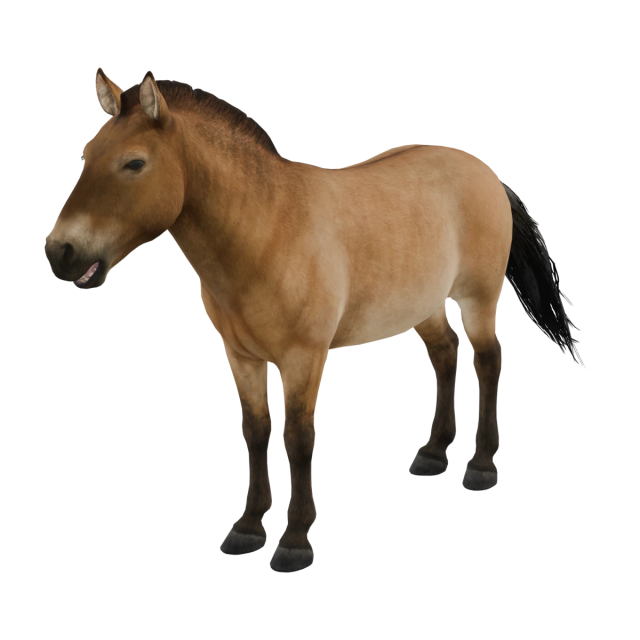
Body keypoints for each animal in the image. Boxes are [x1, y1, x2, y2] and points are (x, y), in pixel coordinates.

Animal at [43, 68, 585, 574]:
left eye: (134, 163)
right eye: (85, 156)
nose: (60, 253)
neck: (266, 230)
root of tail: (482, 167)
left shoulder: (303, 359)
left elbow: (299, 441)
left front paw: (294, 542)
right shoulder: (241, 358)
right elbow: (256, 434)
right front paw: (247, 529)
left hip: (479, 296)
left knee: (488, 362)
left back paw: (480, 466)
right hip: (422, 303)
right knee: (446, 357)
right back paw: (433, 454)